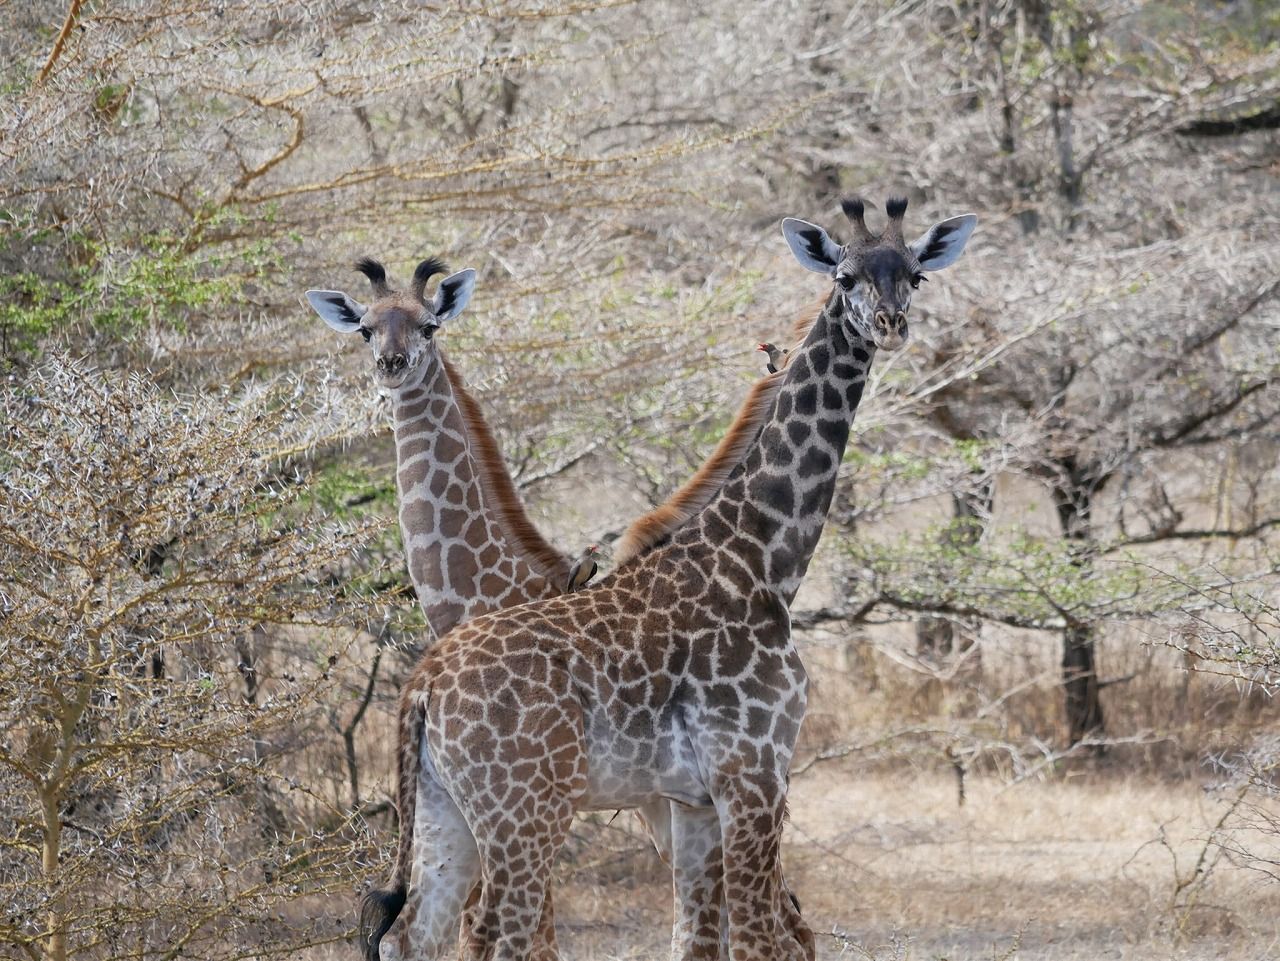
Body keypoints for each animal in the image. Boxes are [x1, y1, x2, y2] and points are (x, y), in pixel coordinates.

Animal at [360, 197, 977, 961]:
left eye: (915, 275)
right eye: (845, 275)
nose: (890, 324)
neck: (763, 557)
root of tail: (422, 686)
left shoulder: (694, 800)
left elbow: (700, 940)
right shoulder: (752, 773)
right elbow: (756, 939)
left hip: (447, 812)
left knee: (412, 935)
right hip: (523, 813)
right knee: (496, 933)